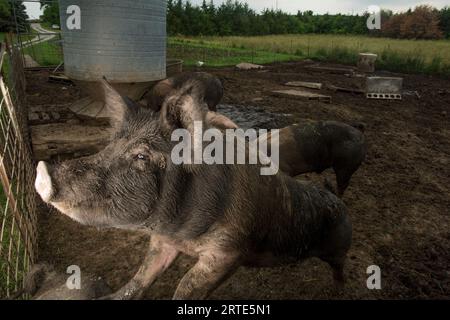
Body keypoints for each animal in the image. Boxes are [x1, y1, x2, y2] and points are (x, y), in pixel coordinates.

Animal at [35, 78, 352, 300]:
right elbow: (143, 274)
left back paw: (338, 291)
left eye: (142, 156)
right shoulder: (163, 240)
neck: (183, 236)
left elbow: (186, 286)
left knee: (340, 267)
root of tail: (339, 204)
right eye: (110, 145)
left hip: (339, 246)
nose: (43, 171)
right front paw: (112, 296)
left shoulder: (228, 251)